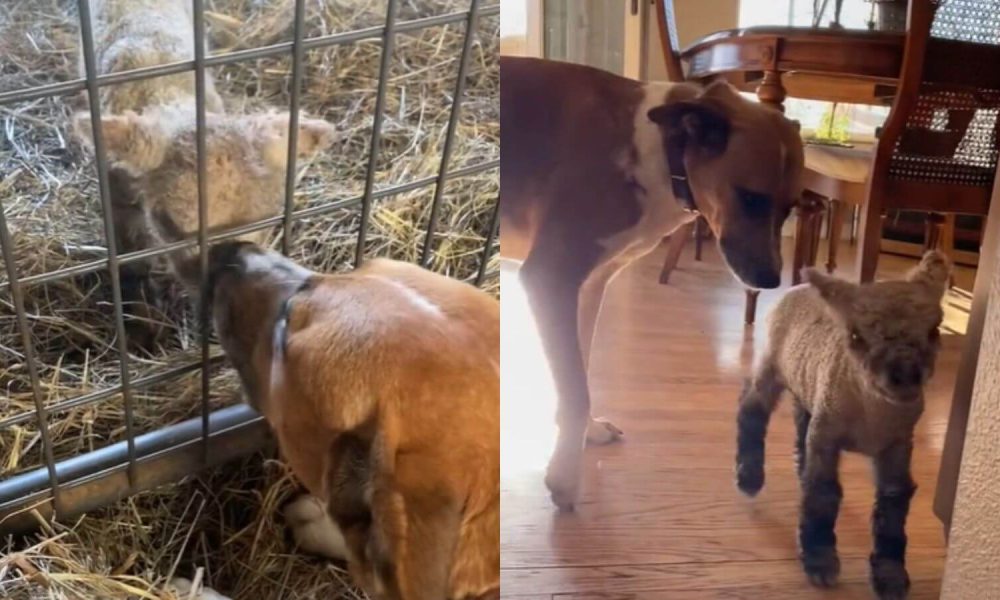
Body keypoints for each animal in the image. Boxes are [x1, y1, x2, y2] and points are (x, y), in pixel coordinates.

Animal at [500, 56, 804, 508]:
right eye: (751, 198)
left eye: (790, 209)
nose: (768, 281)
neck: (662, 153)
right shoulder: (551, 276)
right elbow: (575, 387)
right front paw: (565, 476)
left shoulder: (588, 287)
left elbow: (580, 372)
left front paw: (584, 432)